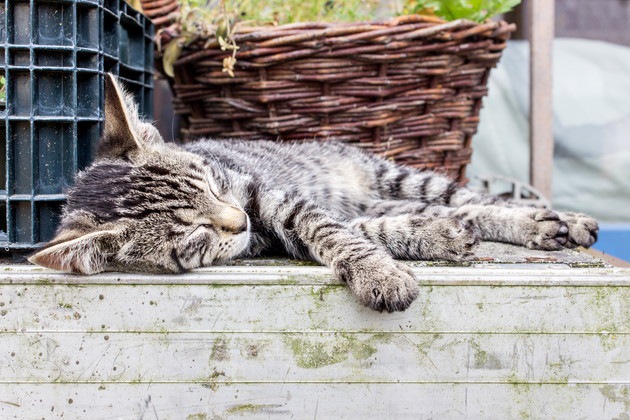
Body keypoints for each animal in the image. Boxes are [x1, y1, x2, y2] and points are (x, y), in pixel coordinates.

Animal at [29, 74, 600, 312]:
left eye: (212, 181)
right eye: (194, 234)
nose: (239, 221)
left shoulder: (272, 198)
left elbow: (334, 231)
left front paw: (381, 273)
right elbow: (365, 232)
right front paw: (428, 240)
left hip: (400, 177)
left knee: (475, 200)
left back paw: (554, 220)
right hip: (387, 196)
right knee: (433, 210)